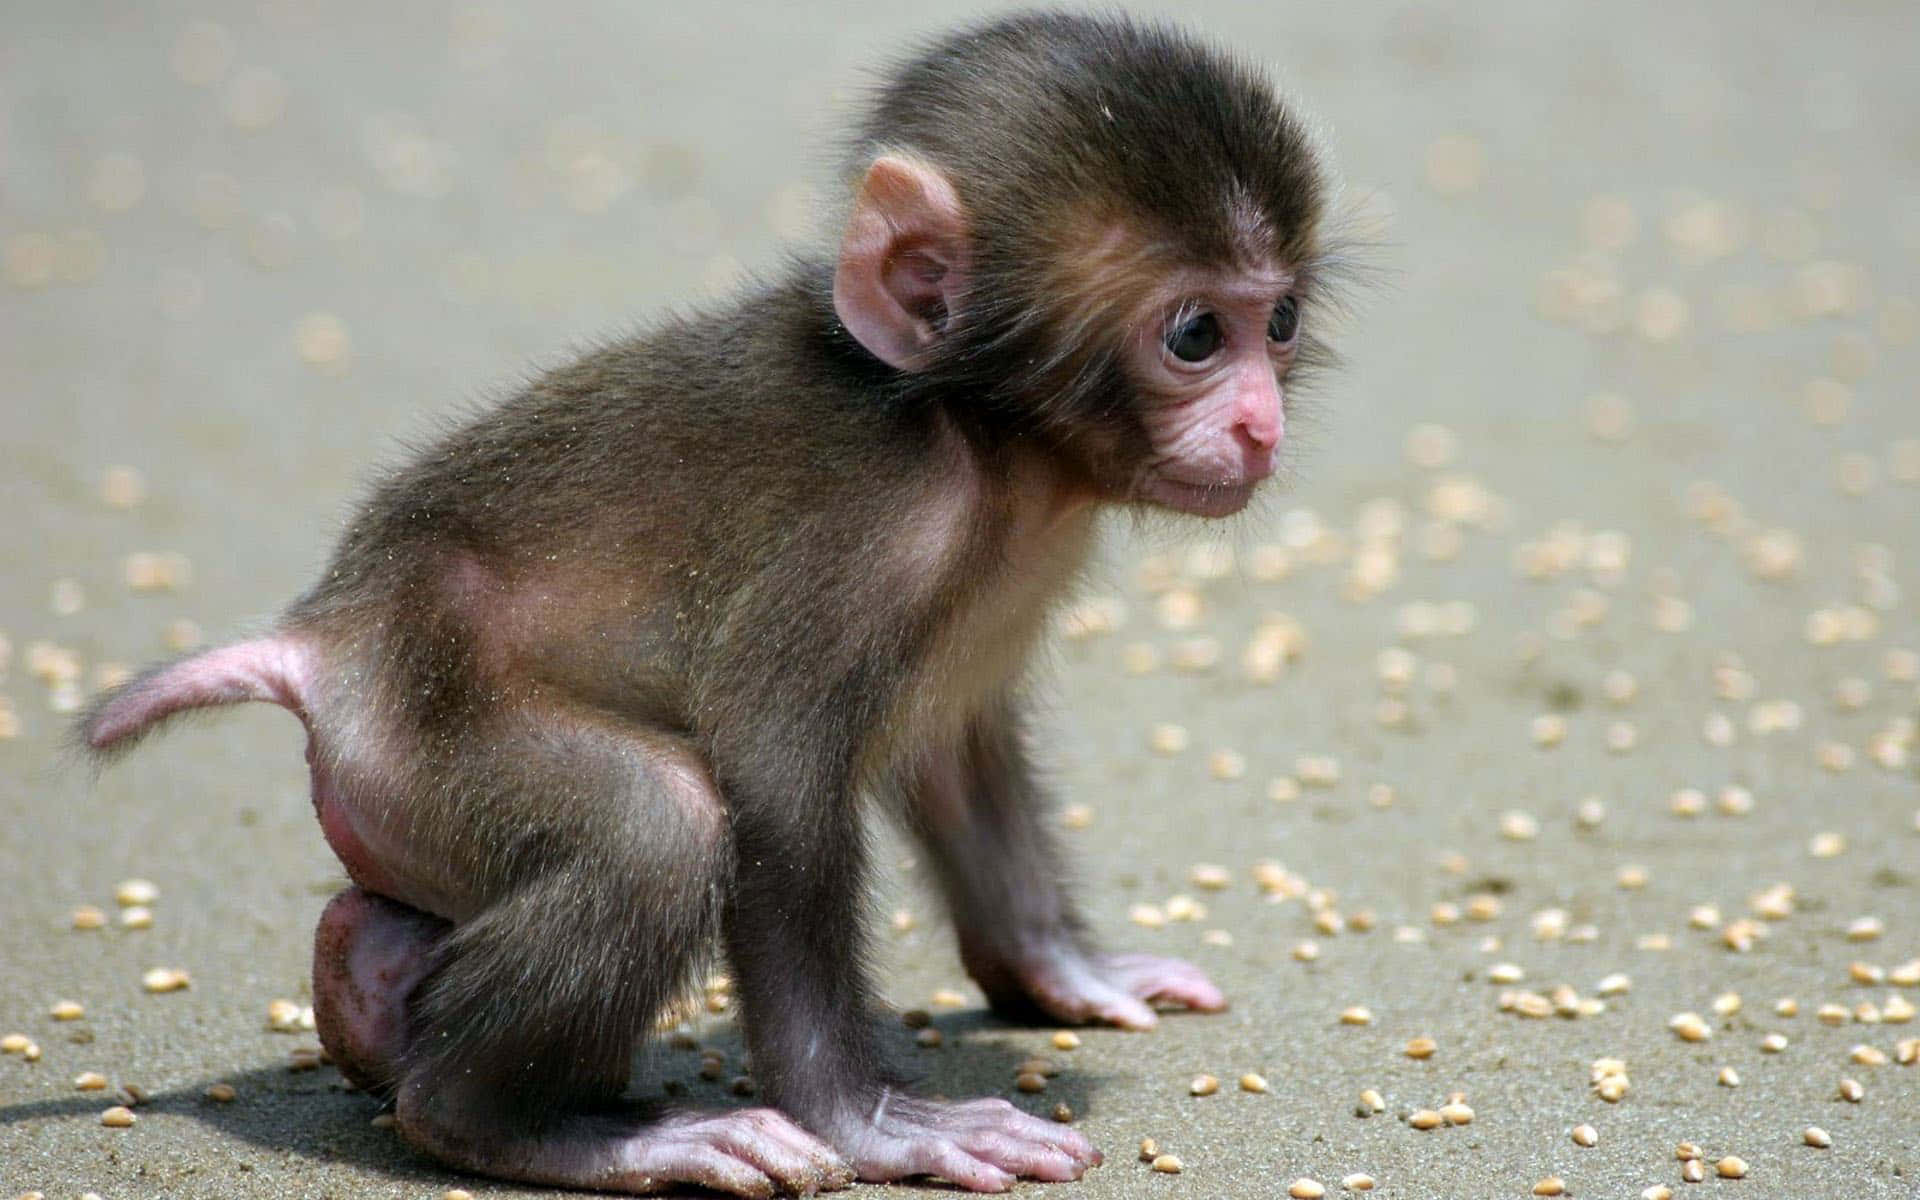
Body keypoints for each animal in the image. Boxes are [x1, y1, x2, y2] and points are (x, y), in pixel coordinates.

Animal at [86, 11, 1336, 1198]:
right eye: (1194, 335)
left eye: (1276, 323)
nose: (1261, 426)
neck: (983, 435)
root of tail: (326, 638)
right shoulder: (872, 538)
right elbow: (773, 777)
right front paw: (868, 1123)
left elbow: (950, 749)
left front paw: (1060, 971)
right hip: (419, 737)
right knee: (658, 824)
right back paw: (519, 1126)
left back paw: (371, 989)